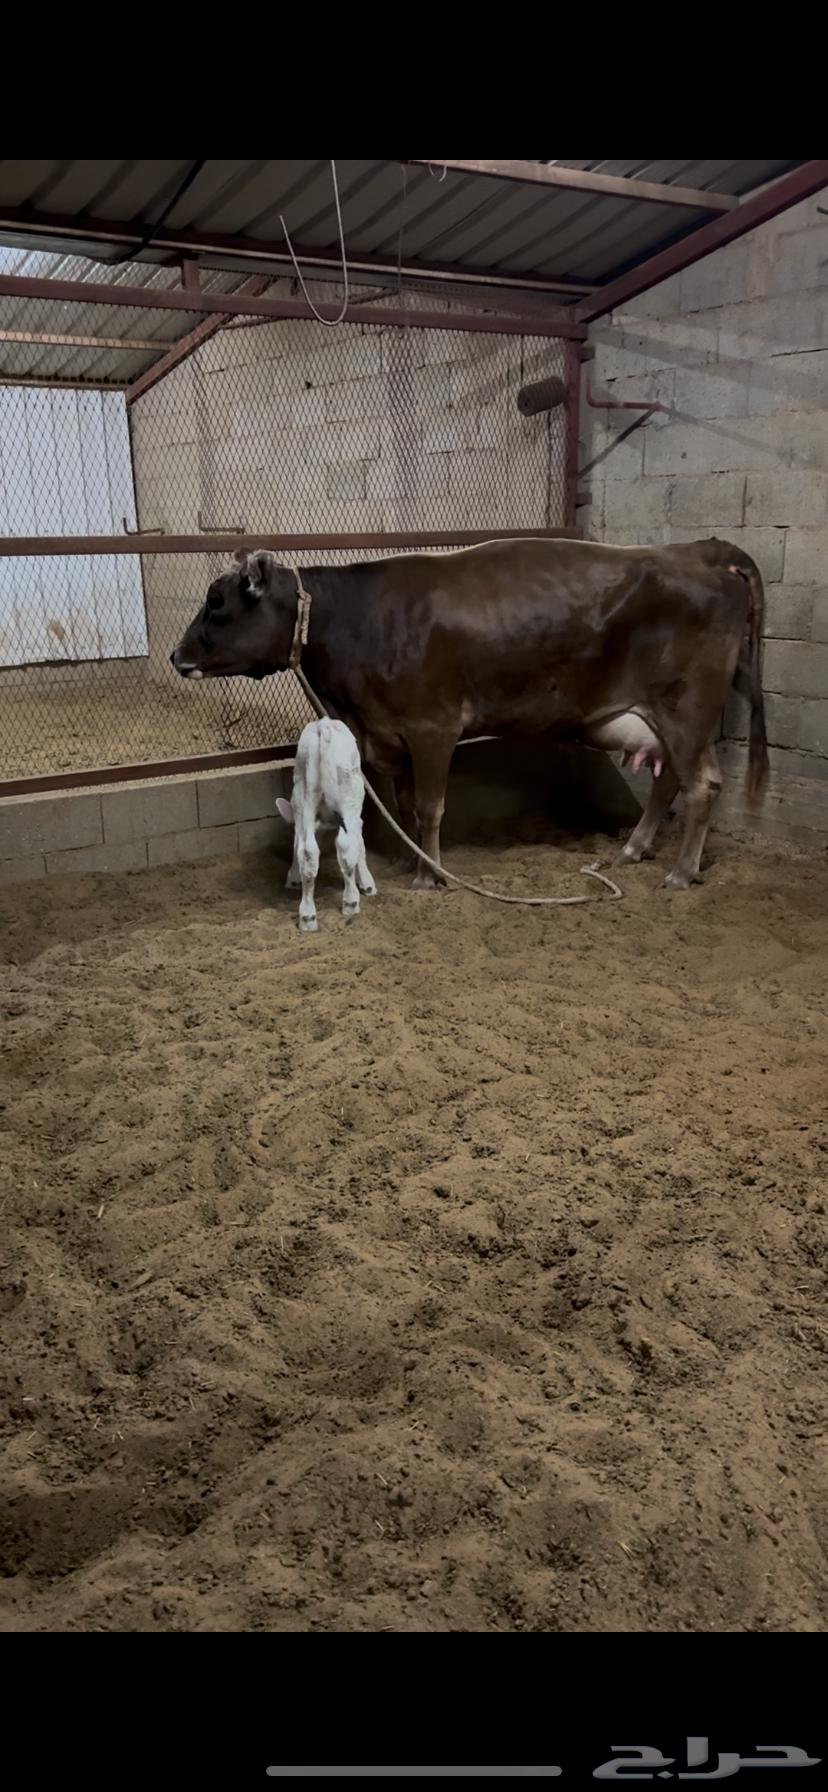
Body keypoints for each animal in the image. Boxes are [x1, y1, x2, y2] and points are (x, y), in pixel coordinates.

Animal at [171, 535, 768, 892]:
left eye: (217, 604)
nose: (177, 656)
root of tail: (700, 553)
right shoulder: (389, 736)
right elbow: (405, 805)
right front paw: (410, 861)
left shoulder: (433, 727)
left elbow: (430, 807)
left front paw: (430, 875)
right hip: (665, 719)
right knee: (670, 783)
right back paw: (634, 849)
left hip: (686, 708)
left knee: (702, 785)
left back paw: (682, 871)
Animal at [276, 717, 377, 931]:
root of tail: (324, 725)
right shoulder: (356, 817)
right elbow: (360, 844)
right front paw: (367, 883)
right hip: (345, 793)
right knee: (342, 848)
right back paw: (348, 903)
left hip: (307, 795)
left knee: (309, 851)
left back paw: (310, 916)